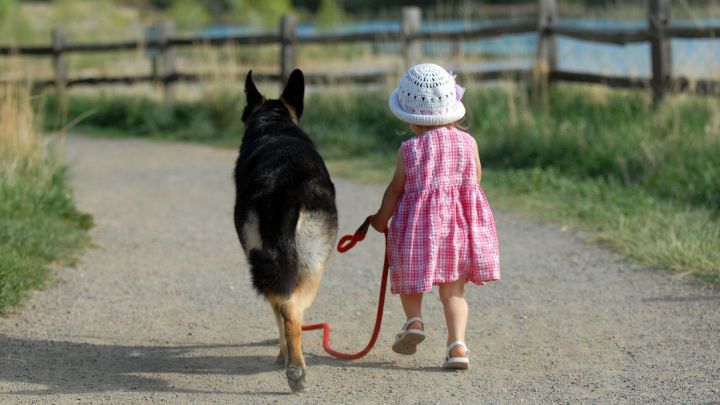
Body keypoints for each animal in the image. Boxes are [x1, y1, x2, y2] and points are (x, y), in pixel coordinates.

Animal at [235, 69, 338, 392]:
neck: (274, 124)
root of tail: (283, 186)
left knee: (284, 307)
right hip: (311, 266)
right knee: (290, 310)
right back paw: (295, 369)